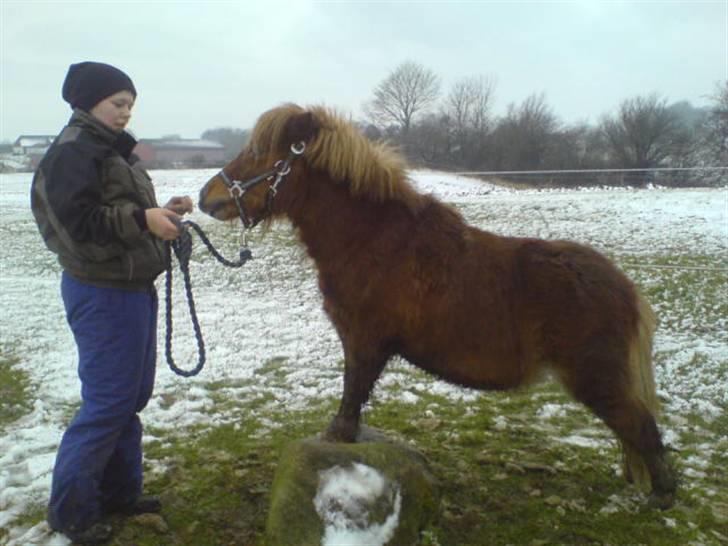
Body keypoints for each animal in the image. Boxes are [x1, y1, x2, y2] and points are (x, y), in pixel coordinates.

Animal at [198, 103, 676, 506]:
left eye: (259, 152)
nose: (206, 197)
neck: (372, 241)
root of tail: (626, 289)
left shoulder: (364, 341)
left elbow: (353, 392)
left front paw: (338, 434)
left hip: (598, 380)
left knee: (642, 427)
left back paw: (661, 497)